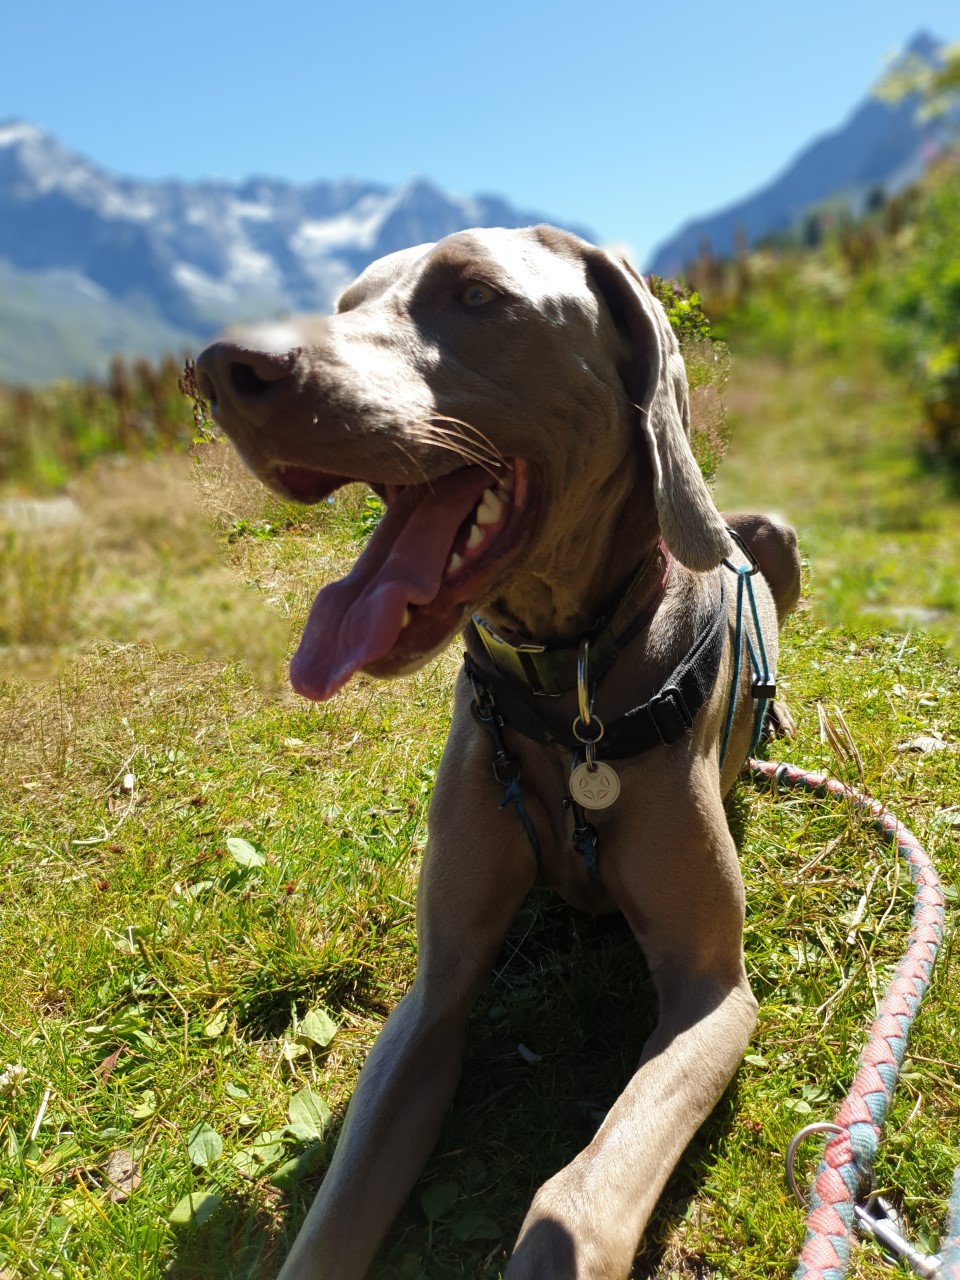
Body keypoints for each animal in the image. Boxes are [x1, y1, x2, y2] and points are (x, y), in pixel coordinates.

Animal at [195, 225, 803, 1274]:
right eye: (347, 302)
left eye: (478, 296)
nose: (223, 368)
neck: (570, 686)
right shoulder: (433, 993)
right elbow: (339, 1207)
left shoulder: (714, 992)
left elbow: (578, 1199)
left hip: (776, 537)